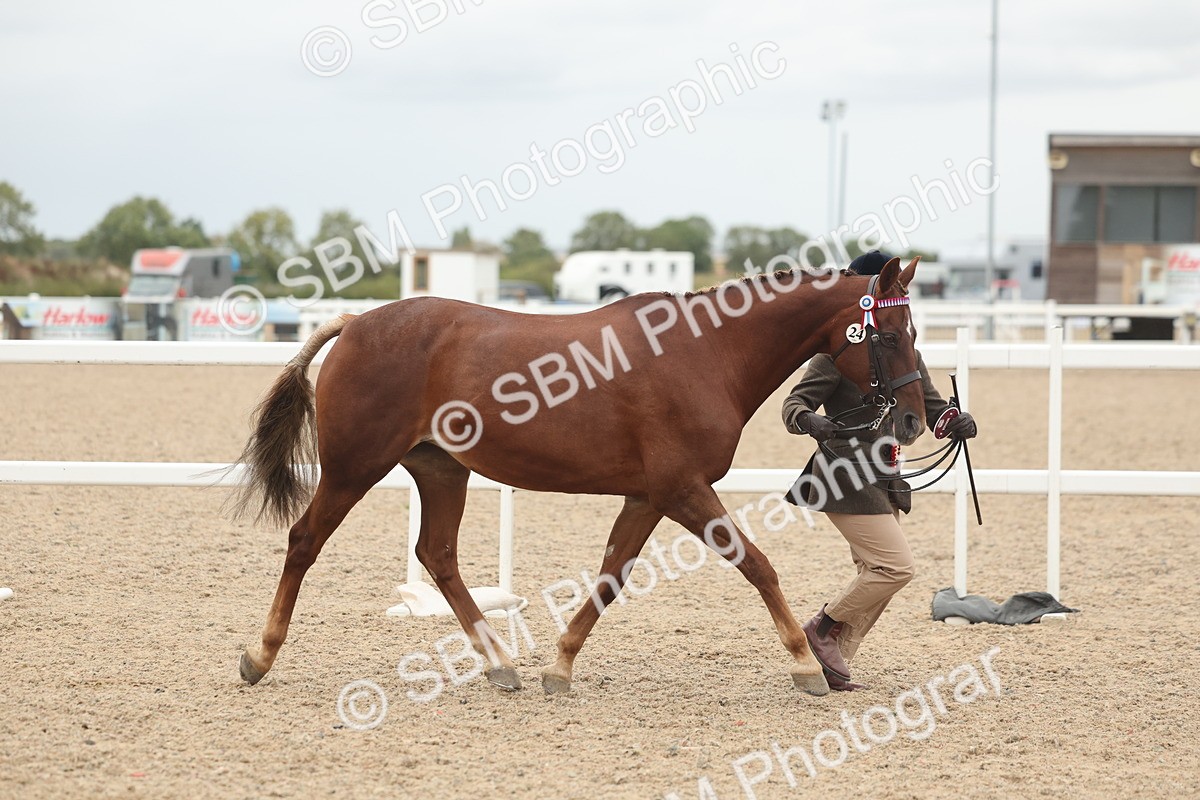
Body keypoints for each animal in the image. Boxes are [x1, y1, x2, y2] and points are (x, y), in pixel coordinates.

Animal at [232, 257, 924, 697]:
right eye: (891, 335)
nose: (917, 419)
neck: (707, 354)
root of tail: (356, 323)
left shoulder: (650, 496)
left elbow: (611, 577)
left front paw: (559, 667)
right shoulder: (683, 489)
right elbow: (758, 565)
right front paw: (807, 667)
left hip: (440, 470)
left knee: (439, 555)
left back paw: (500, 664)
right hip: (354, 468)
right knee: (305, 542)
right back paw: (259, 656)